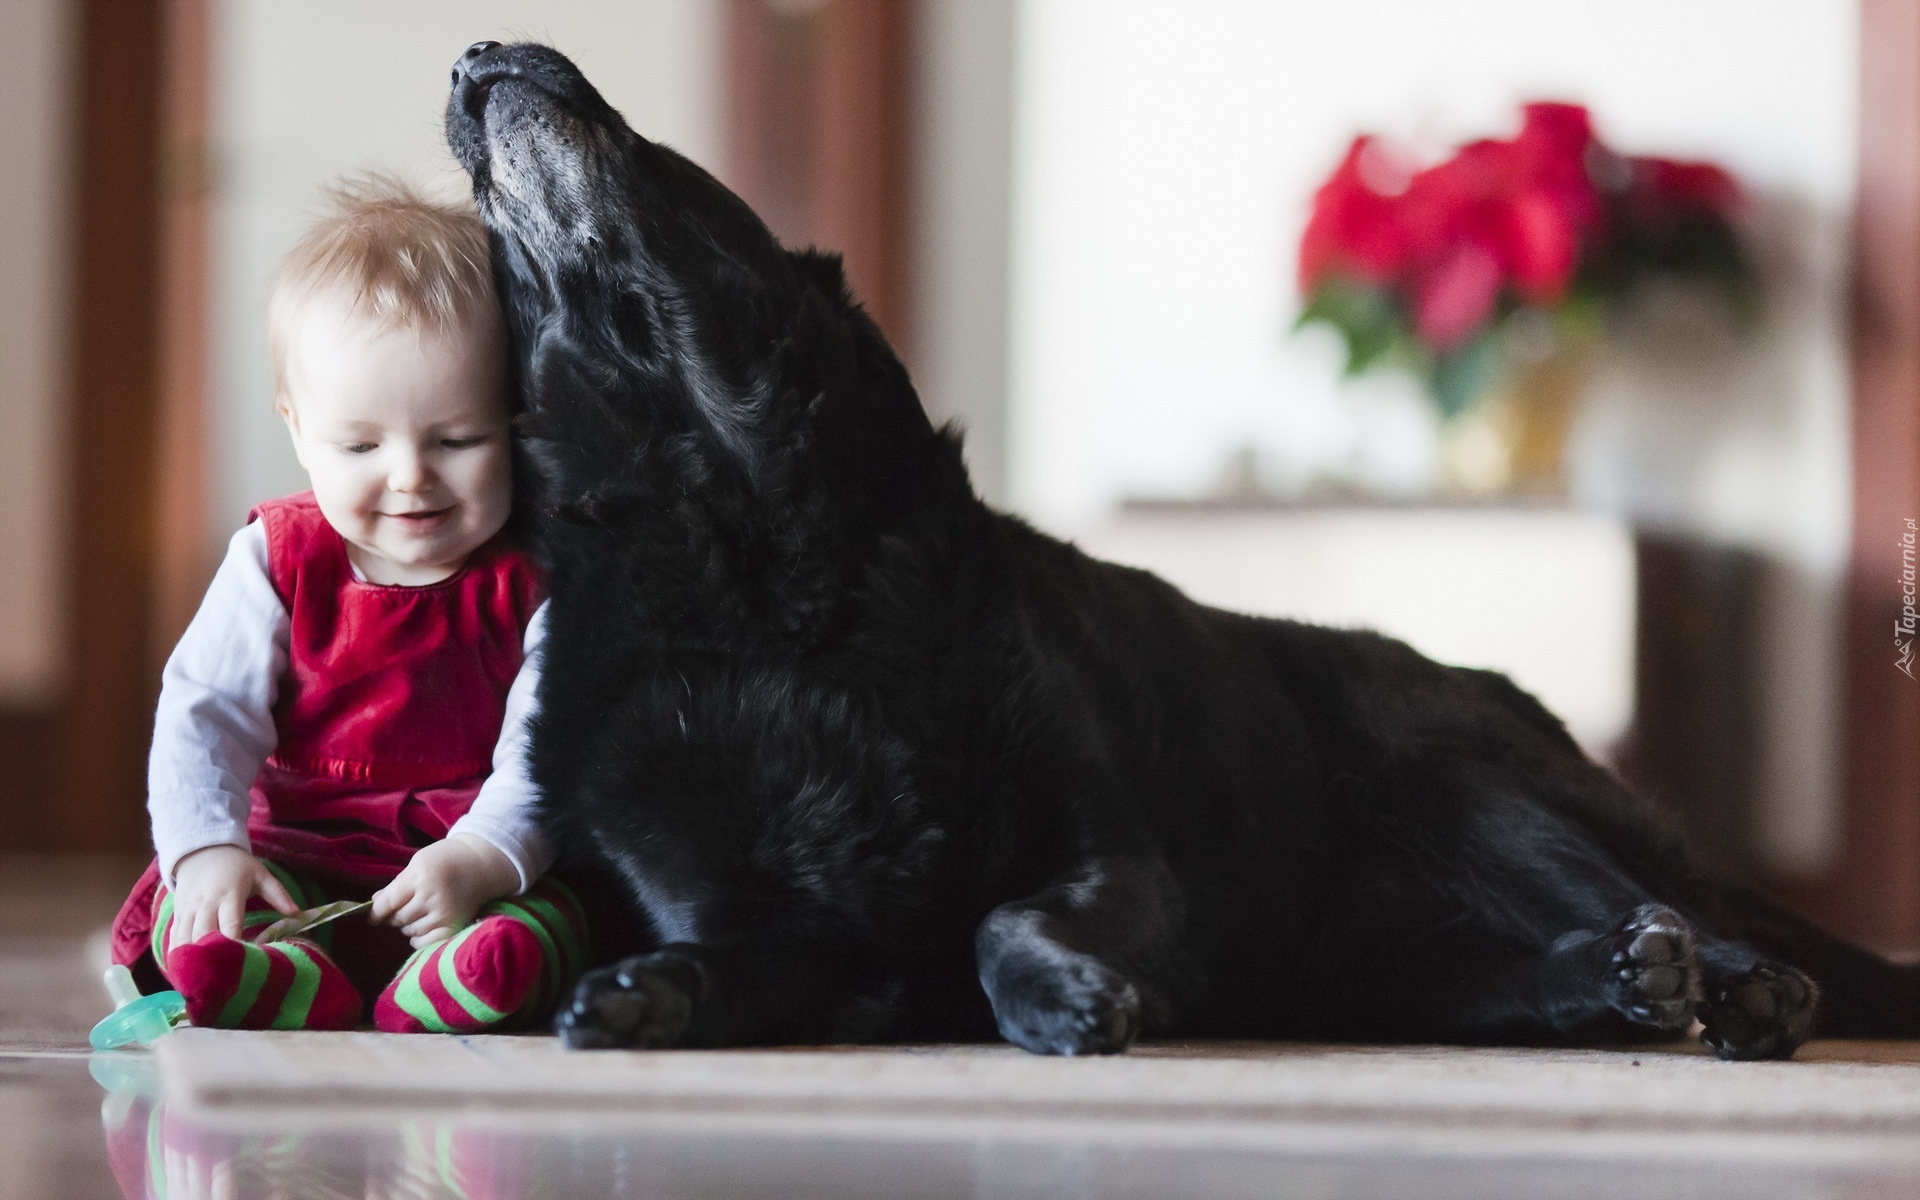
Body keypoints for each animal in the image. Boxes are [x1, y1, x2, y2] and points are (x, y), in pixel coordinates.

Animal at [449, 42, 1920, 1059]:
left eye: (660, 148)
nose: (472, 56)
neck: (758, 569)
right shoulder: (780, 926)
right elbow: (738, 959)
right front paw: (643, 997)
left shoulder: (1118, 856)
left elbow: (1004, 920)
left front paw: (1059, 994)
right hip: (1388, 965)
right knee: (1550, 971)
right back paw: (1616, 981)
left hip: (1460, 780)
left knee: (1689, 918)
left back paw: (1729, 984)